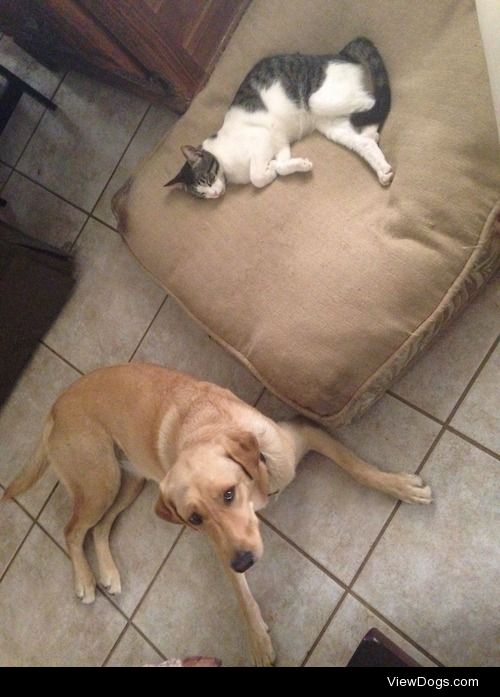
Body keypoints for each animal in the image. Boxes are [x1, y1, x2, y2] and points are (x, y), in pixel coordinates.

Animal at [166, 37, 392, 197]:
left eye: (207, 179)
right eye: (201, 194)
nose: (214, 194)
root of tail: (340, 55)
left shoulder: (263, 140)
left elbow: (256, 177)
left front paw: (269, 171)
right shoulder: (281, 142)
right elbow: (283, 165)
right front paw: (287, 166)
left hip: (320, 100)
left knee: (373, 102)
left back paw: (371, 131)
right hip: (330, 124)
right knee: (363, 142)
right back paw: (382, 167)